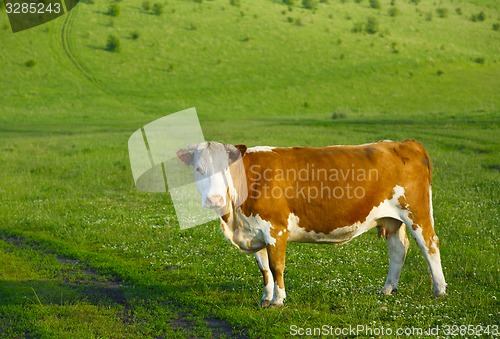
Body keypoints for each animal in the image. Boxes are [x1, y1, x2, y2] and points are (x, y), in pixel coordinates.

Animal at [176, 140, 446, 308]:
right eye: (198, 169)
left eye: (225, 169)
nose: (214, 199)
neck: (234, 219)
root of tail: (404, 143)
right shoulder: (254, 232)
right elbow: (264, 269)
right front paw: (265, 298)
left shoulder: (276, 230)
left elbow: (276, 267)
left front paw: (278, 301)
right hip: (391, 219)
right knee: (398, 250)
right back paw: (387, 289)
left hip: (416, 212)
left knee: (430, 245)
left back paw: (440, 290)